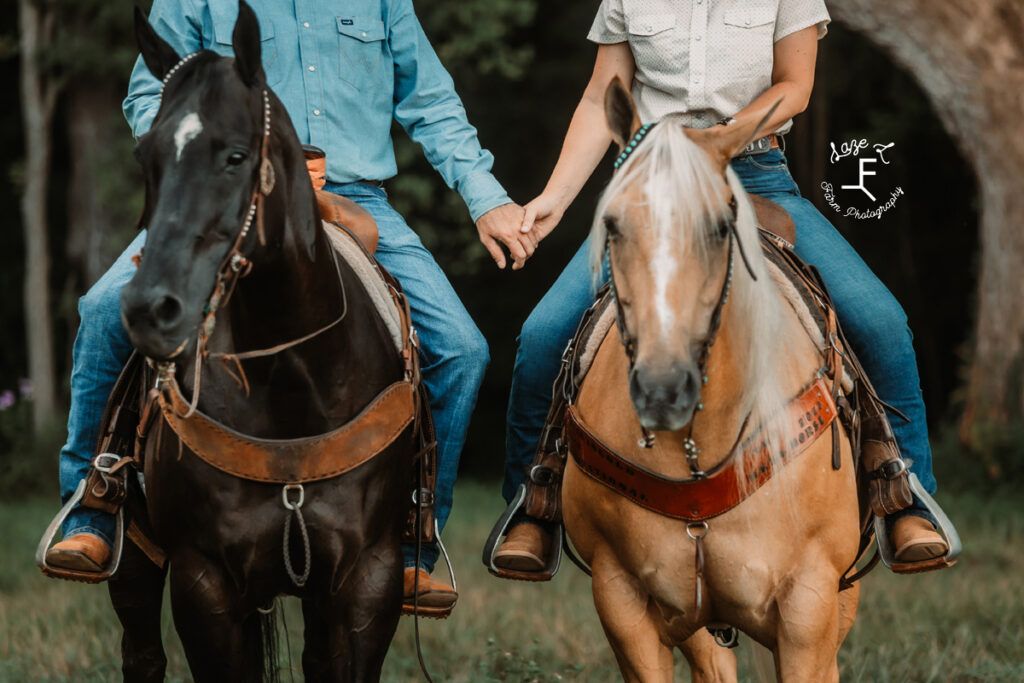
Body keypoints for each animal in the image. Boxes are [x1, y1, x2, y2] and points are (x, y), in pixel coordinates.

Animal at [108, 3, 415, 679]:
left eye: (235, 155)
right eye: (145, 157)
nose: (150, 309)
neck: (293, 382)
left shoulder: (369, 581)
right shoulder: (204, 585)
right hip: (133, 558)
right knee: (140, 650)